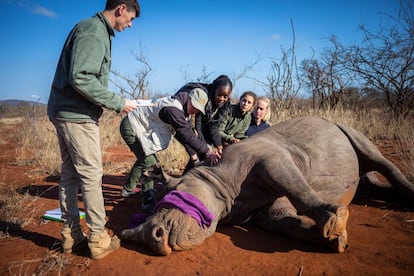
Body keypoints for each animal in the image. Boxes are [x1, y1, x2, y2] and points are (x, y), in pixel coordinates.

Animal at [118, 116, 412, 254]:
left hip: (343, 127)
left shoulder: (271, 157)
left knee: (376, 157)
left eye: (175, 194)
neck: (217, 182)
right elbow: (289, 224)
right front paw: (335, 241)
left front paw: (334, 221)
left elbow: (297, 188)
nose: (151, 238)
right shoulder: (267, 213)